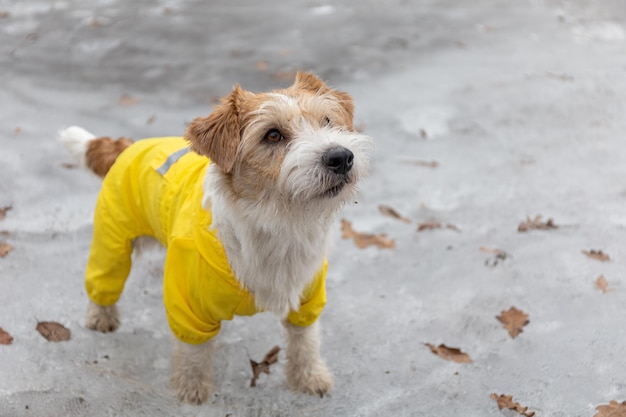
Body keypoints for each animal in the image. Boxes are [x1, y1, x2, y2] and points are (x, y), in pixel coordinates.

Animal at [59, 71, 370, 404]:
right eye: (272, 135)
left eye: (327, 121)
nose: (341, 157)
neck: (277, 222)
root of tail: (131, 144)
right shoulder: (189, 307)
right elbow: (194, 352)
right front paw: (192, 387)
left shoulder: (307, 297)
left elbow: (305, 340)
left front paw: (310, 377)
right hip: (112, 239)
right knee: (104, 280)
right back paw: (101, 316)